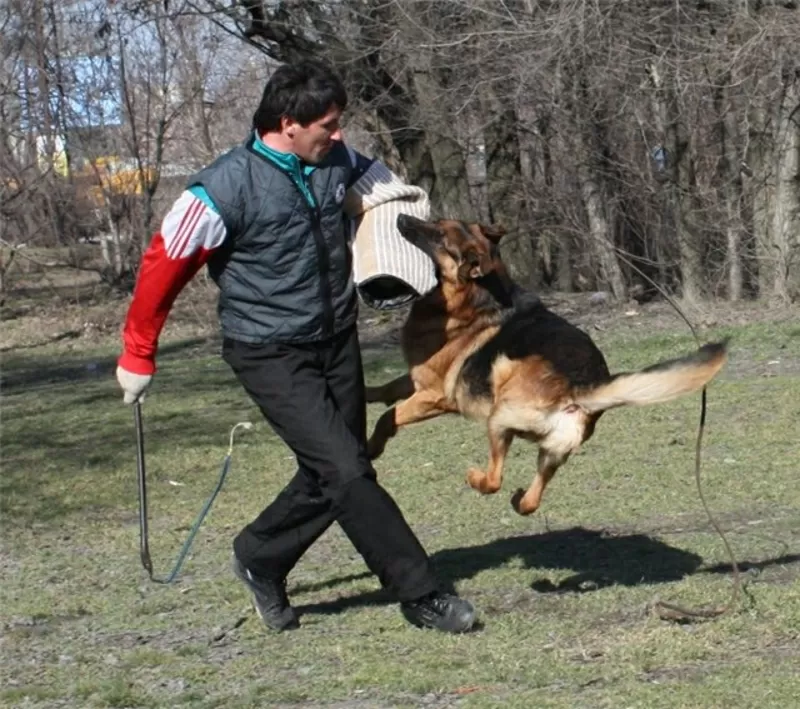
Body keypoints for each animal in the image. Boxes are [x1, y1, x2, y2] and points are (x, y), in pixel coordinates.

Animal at [366, 214, 728, 516]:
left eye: (439, 234)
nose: (402, 217)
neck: (477, 295)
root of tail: (581, 390)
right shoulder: (418, 380)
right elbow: (387, 389)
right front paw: (369, 392)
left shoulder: (432, 394)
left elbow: (388, 418)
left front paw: (371, 448)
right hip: (552, 452)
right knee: (531, 501)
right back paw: (519, 499)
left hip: (499, 413)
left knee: (495, 478)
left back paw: (475, 477)